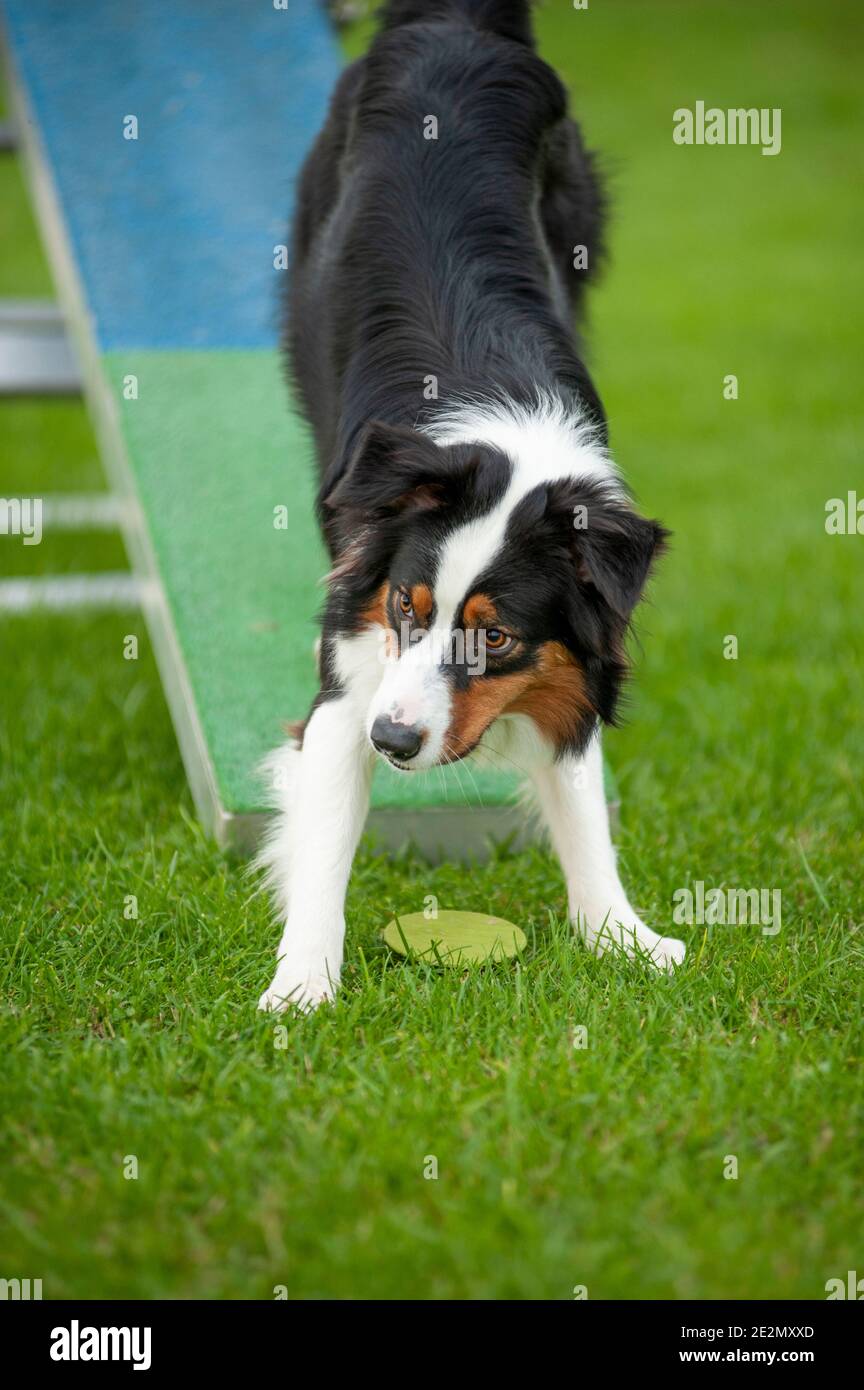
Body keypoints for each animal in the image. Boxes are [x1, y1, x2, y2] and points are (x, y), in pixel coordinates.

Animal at [256, 0, 683, 1006]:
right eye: (406, 608)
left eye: (496, 638)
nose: (395, 741)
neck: (513, 445)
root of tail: (453, 19)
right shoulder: (349, 677)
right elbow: (323, 840)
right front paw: (300, 991)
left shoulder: (574, 659)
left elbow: (581, 800)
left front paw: (625, 939)